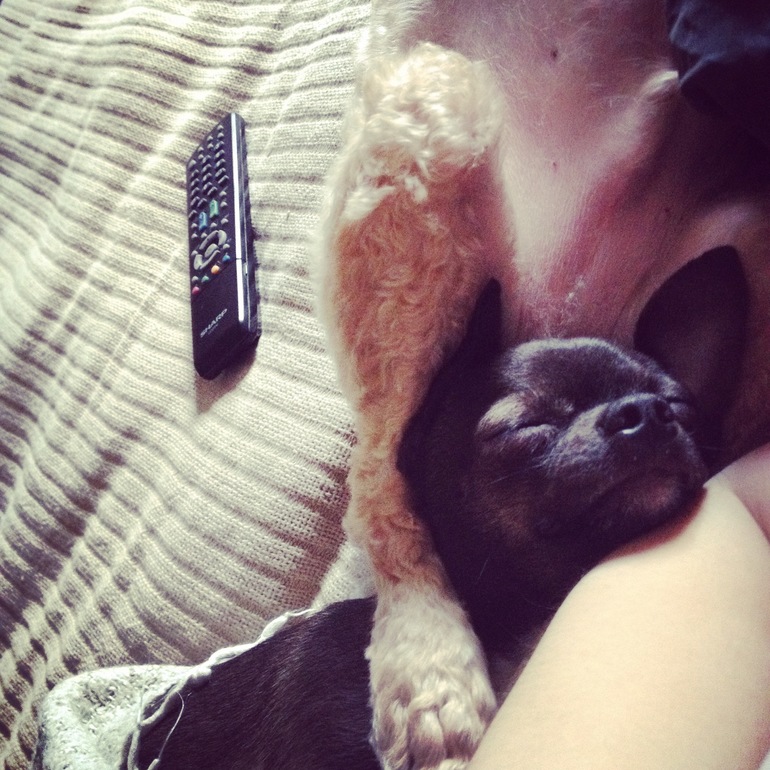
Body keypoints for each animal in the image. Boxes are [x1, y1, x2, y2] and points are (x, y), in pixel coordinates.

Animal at [313, 2, 770, 767]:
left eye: (674, 402)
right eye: (525, 426)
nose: (642, 412)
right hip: (429, 145)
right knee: (381, 475)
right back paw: (428, 666)